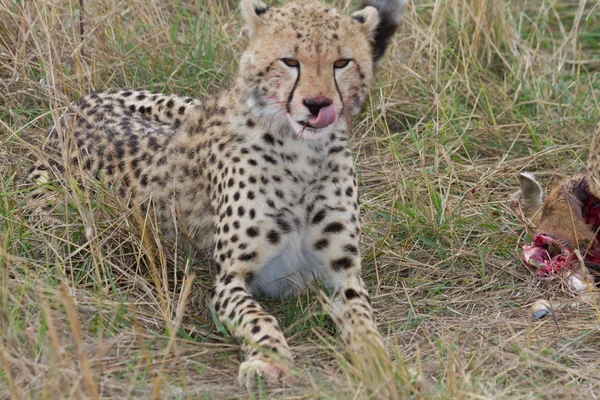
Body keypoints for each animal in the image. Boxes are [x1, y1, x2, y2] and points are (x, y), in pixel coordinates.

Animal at [28, 0, 408, 388]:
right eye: (290, 61)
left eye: (341, 62)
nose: (318, 104)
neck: (301, 153)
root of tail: (74, 108)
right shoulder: (229, 280)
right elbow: (258, 318)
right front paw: (268, 360)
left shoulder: (343, 271)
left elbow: (363, 318)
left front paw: (380, 361)